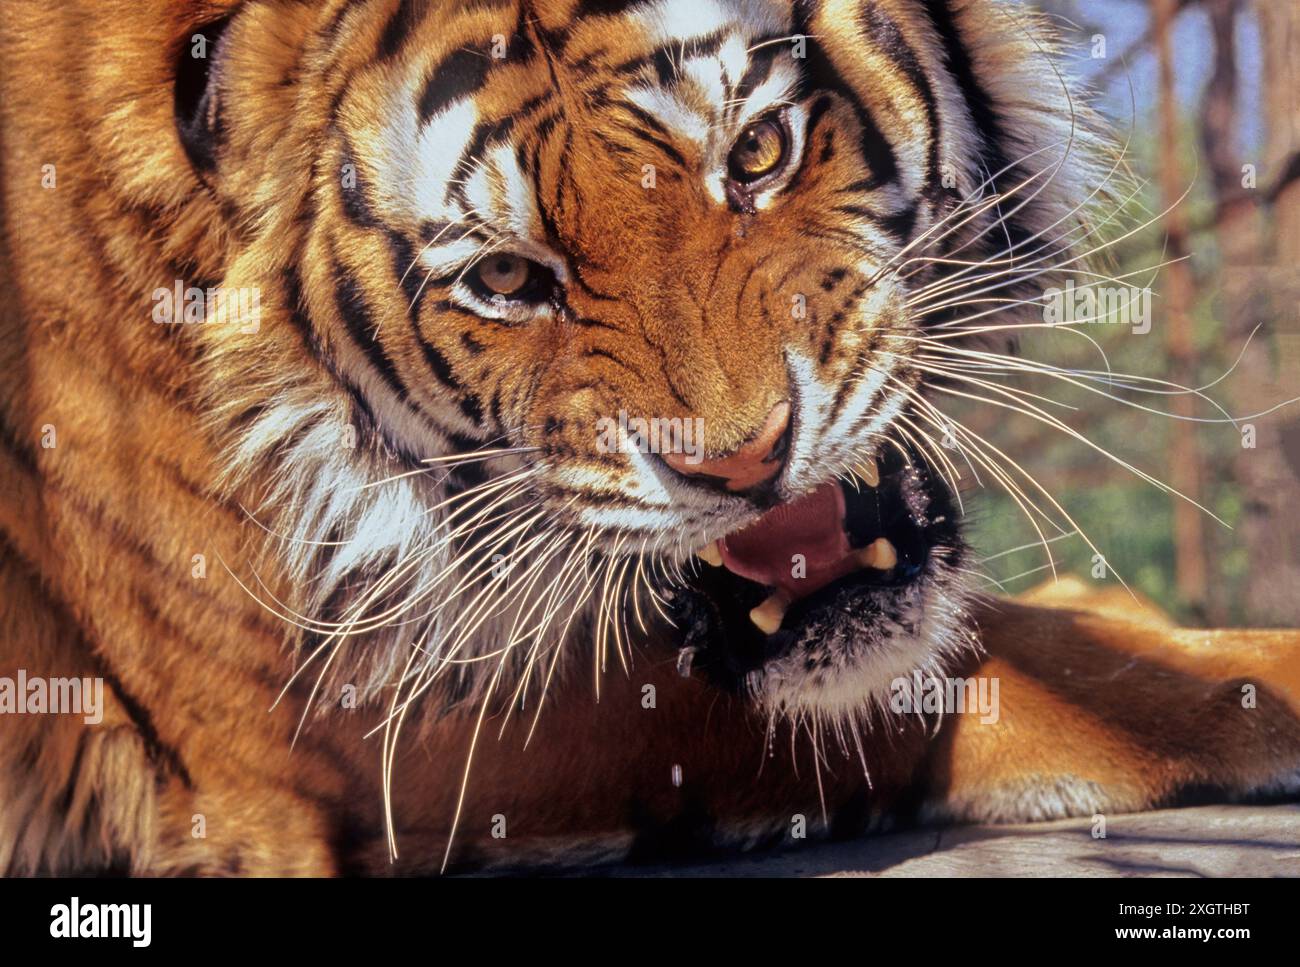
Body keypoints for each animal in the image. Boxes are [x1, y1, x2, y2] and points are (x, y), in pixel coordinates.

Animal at [1, 0, 1298, 876]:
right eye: (507, 279)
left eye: (758, 153)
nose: (740, 462)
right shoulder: (340, 729)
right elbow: (998, 682)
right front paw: (1257, 681)